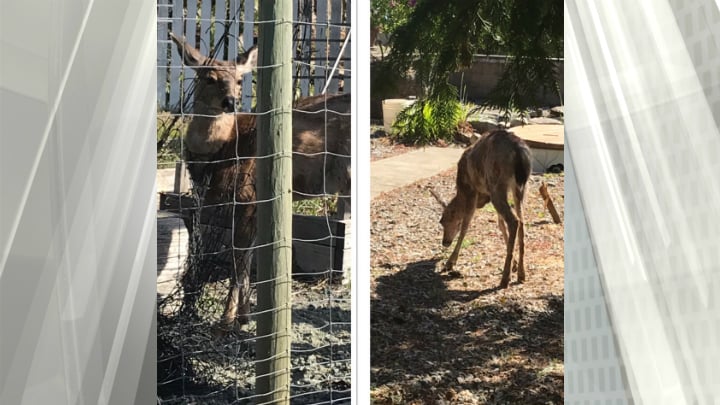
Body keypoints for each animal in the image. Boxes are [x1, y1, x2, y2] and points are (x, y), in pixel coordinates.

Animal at [169, 34, 348, 332]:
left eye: (240, 81)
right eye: (209, 78)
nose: (230, 101)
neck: (226, 148)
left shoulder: (248, 195)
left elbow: (239, 258)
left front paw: (227, 321)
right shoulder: (252, 202)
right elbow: (249, 256)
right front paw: (244, 315)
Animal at [430, 129, 532, 288]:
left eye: (443, 221)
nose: (445, 242)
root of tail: (519, 152)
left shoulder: (471, 190)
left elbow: (466, 225)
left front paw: (450, 263)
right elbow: (500, 225)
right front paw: (515, 264)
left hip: (496, 183)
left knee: (514, 221)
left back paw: (505, 278)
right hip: (520, 187)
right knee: (522, 221)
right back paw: (521, 274)